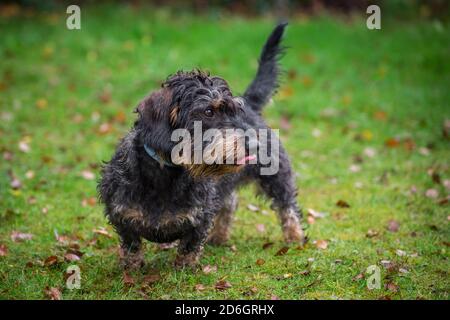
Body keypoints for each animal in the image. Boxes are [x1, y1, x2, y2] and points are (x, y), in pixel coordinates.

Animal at [99, 21, 306, 270]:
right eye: (209, 111)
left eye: (235, 111)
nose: (256, 145)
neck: (164, 175)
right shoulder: (120, 214)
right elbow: (131, 244)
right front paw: (131, 267)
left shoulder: (200, 217)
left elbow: (189, 246)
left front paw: (184, 268)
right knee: (230, 203)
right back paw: (219, 236)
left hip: (276, 177)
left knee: (287, 206)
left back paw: (295, 237)